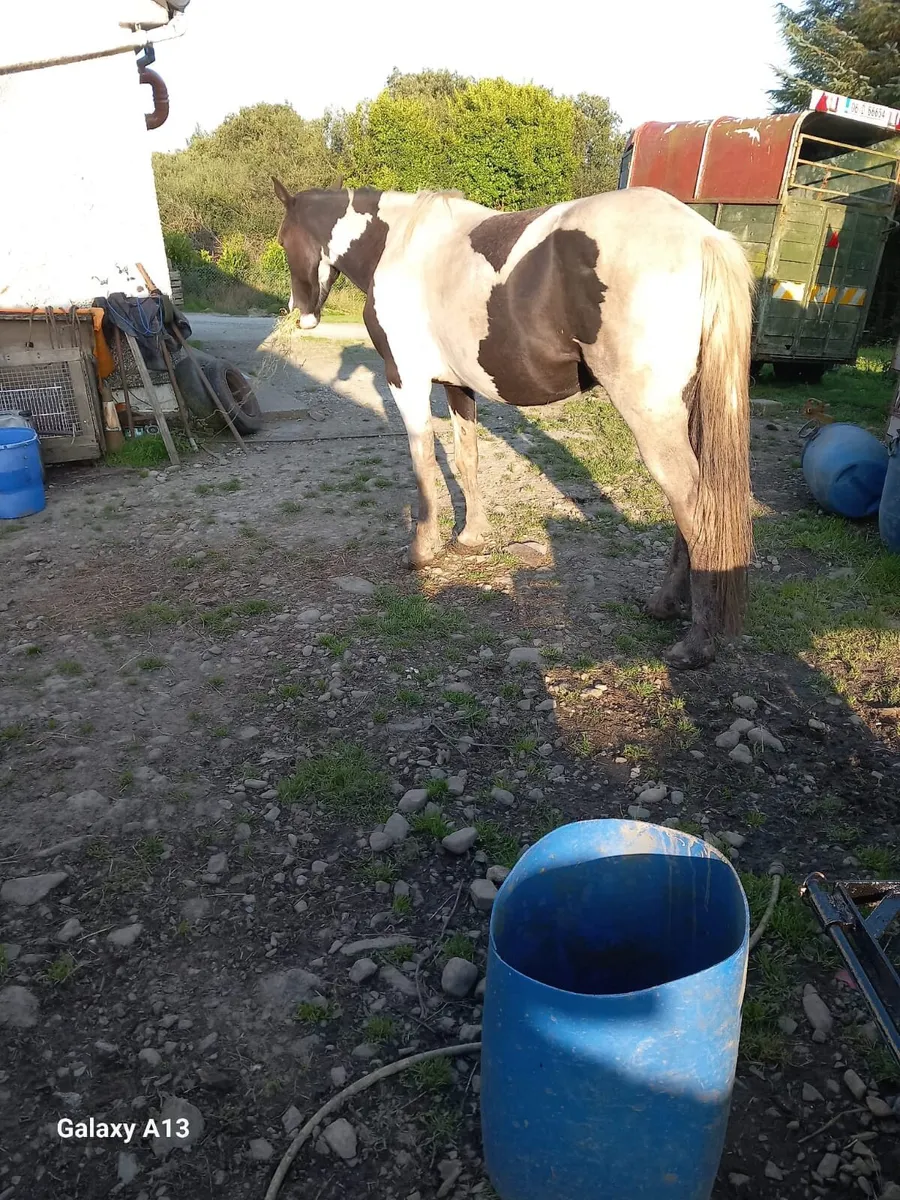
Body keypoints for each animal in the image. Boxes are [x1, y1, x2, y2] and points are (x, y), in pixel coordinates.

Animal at [272, 179, 754, 670]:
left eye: (283, 240)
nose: (300, 312)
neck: (398, 243)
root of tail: (704, 237)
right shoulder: (457, 385)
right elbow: (465, 459)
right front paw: (471, 537)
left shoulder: (405, 380)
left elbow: (424, 464)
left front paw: (422, 551)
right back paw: (664, 605)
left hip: (652, 417)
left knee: (693, 505)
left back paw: (696, 644)